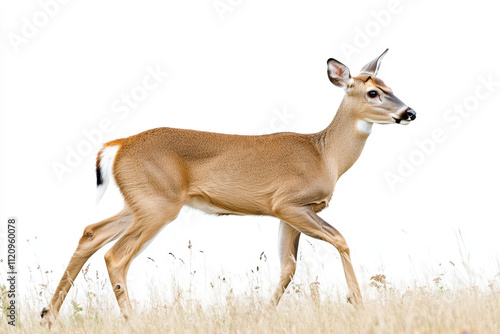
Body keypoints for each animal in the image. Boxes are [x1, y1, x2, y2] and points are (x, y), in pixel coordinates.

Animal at [41, 49, 414, 326]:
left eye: (389, 85)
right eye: (373, 92)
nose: (409, 112)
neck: (324, 154)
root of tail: (119, 145)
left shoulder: (288, 214)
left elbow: (288, 267)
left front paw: (264, 315)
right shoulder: (288, 203)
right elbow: (339, 239)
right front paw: (358, 304)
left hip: (137, 203)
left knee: (91, 232)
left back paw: (48, 314)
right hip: (158, 205)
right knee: (115, 255)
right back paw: (132, 321)